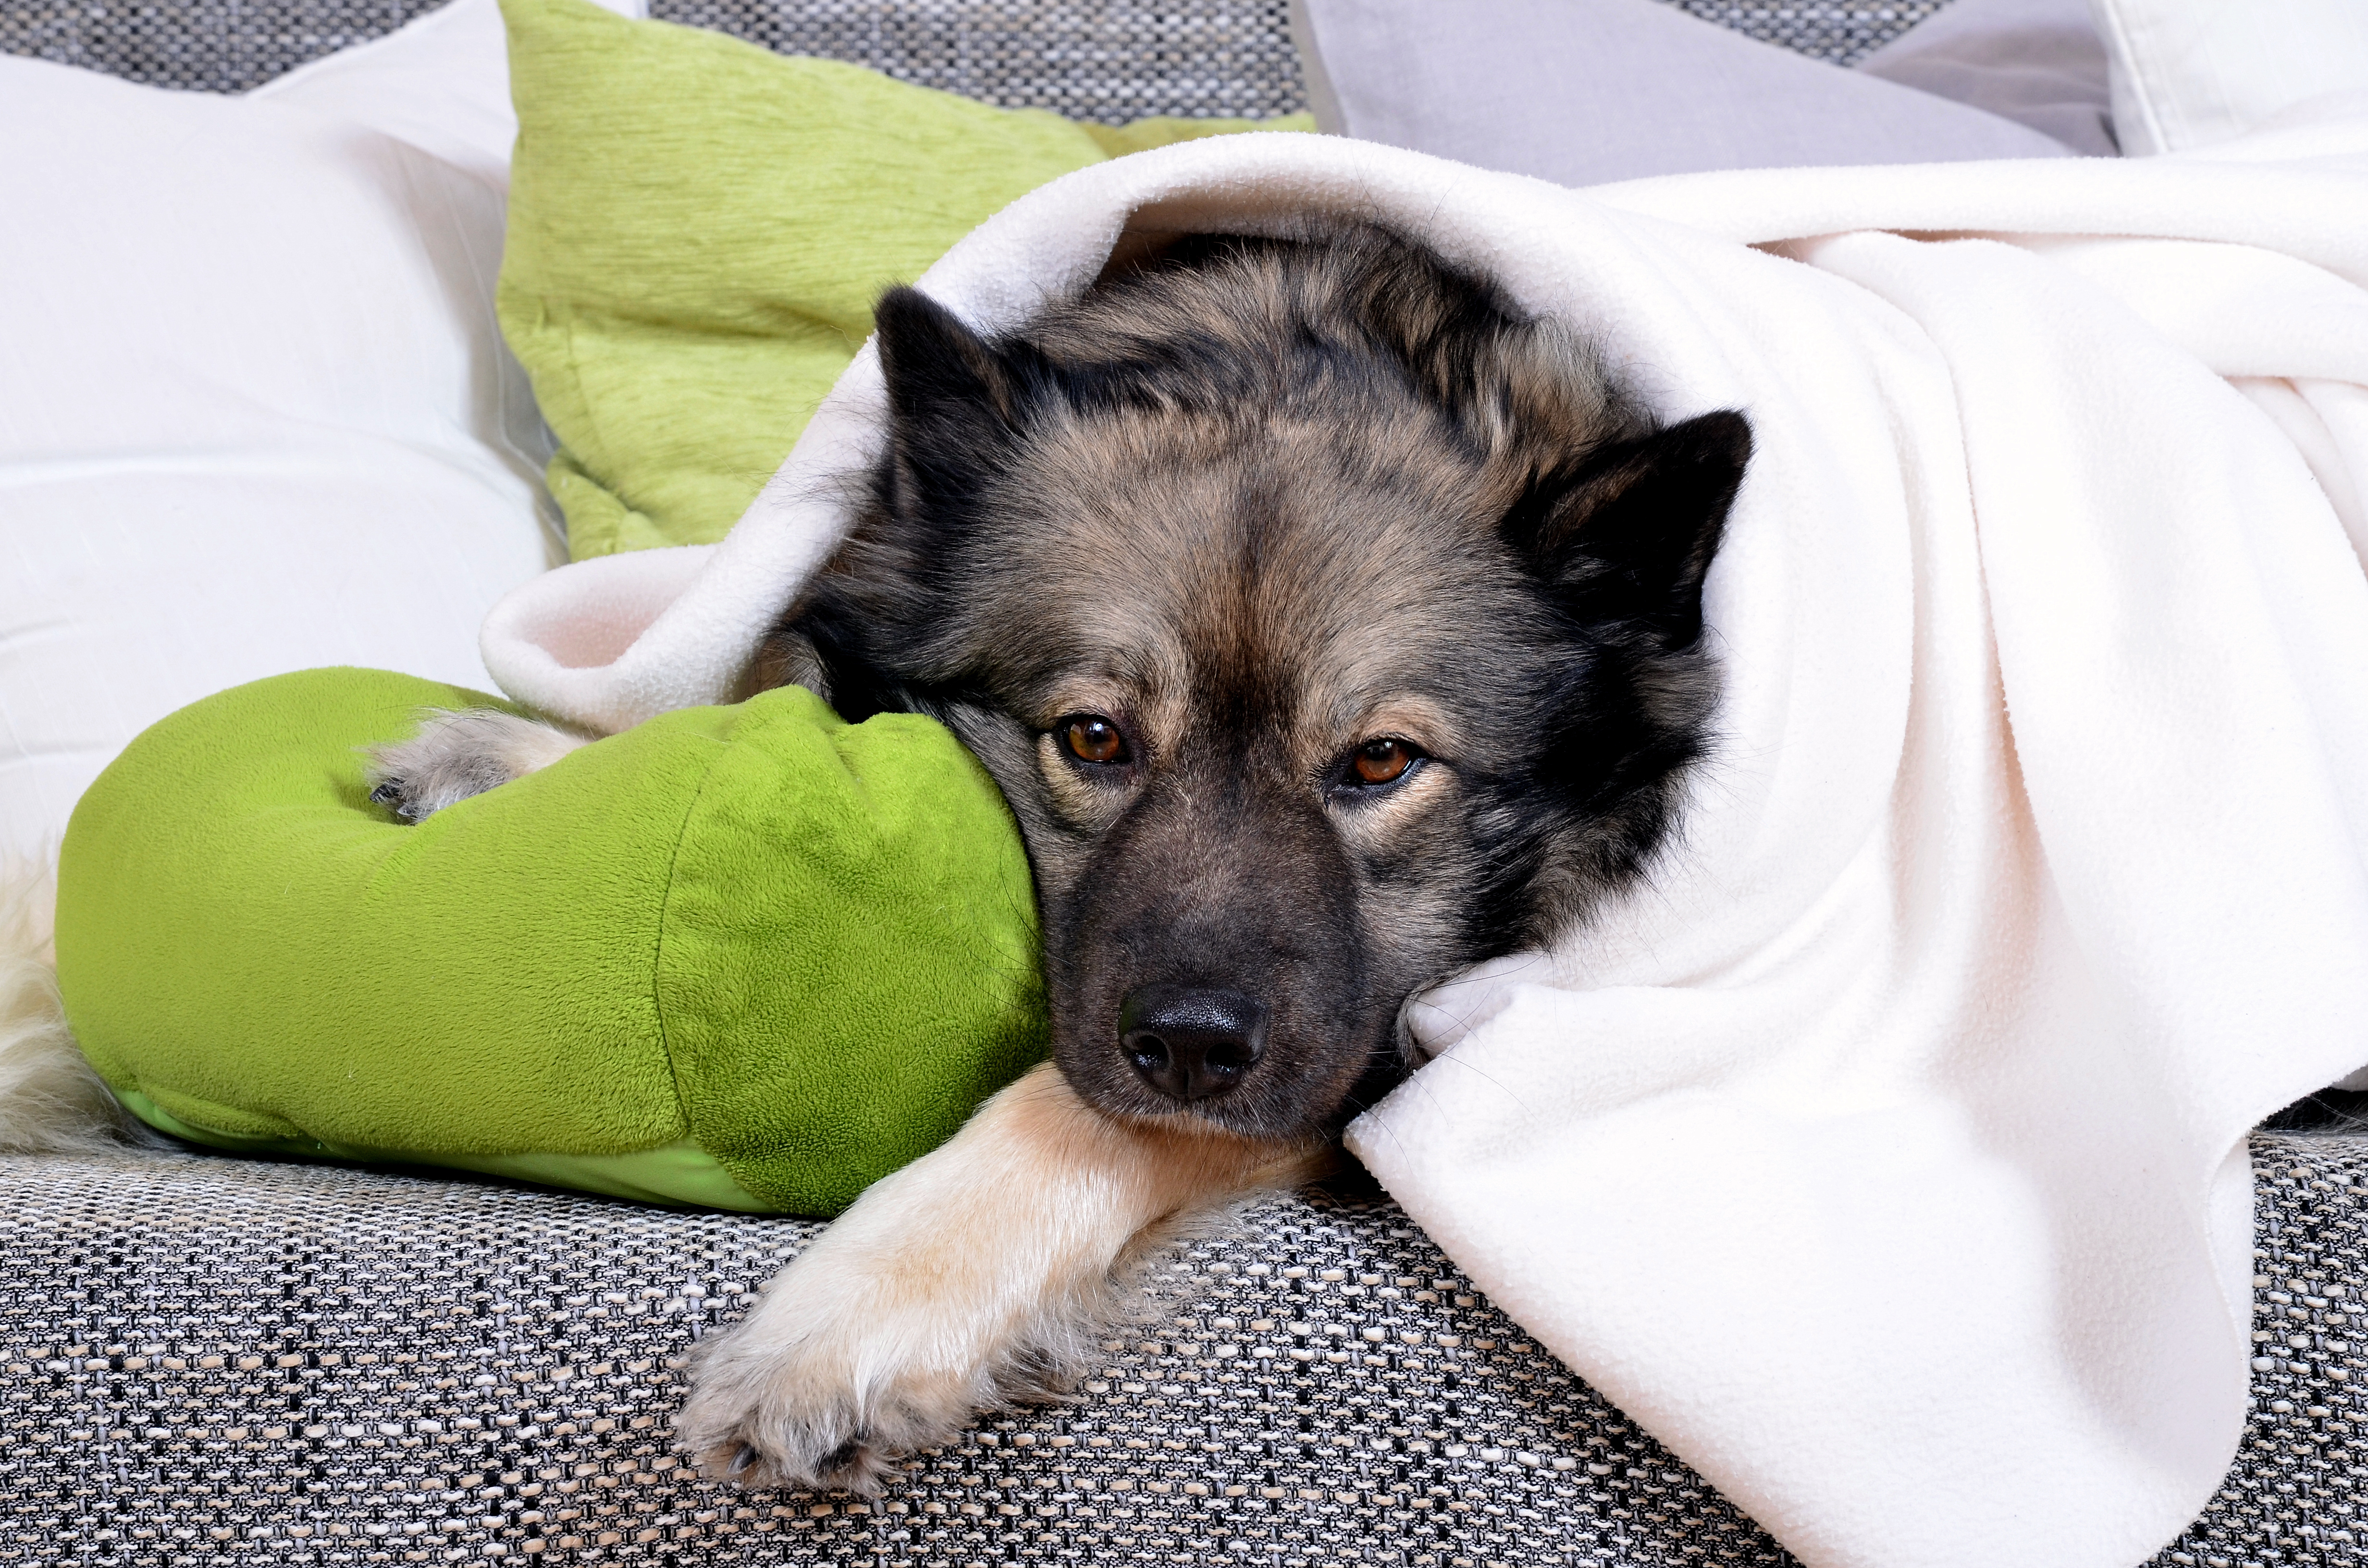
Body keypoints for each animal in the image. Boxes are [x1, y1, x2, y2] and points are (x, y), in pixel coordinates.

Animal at [41, 231, 1762, 1497]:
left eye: (1383, 764)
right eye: (1091, 737)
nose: (1192, 1046)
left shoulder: (1387, 1049)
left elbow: (1071, 1116)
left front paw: (848, 1320)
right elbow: (734, 700)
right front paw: (518, 754)